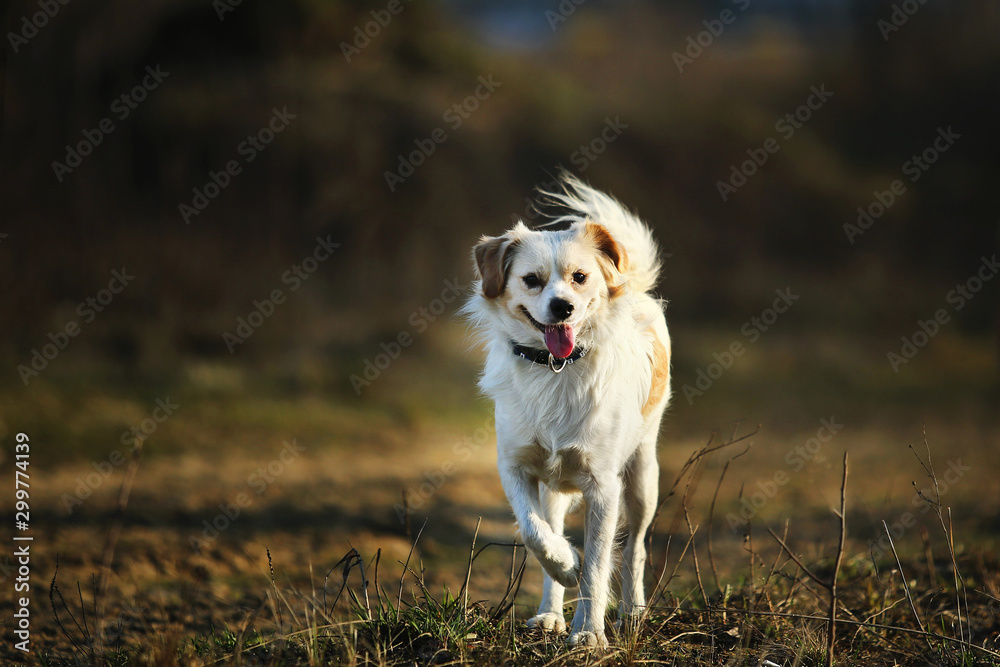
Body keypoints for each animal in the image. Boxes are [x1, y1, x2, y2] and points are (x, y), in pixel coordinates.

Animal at [462, 176, 672, 648]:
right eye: (531, 280)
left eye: (580, 278)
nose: (563, 307)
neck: (554, 368)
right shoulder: (516, 468)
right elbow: (536, 534)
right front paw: (566, 566)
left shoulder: (604, 486)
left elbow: (598, 563)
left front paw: (590, 632)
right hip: (555, 489)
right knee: (552, 530)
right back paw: (550, 613)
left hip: (642, 476)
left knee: (634, 548)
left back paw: (632, 610)